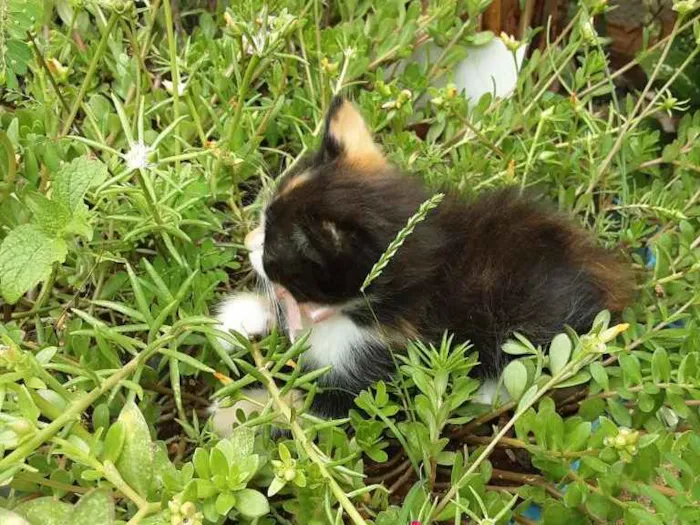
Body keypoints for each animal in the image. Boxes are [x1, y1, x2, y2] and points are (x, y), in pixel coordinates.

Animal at [209, 96, 636, 432]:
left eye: (272, 248)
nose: (247, 243)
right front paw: (241, 317)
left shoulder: (386, 371)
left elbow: (317, 408)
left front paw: (238, 412)